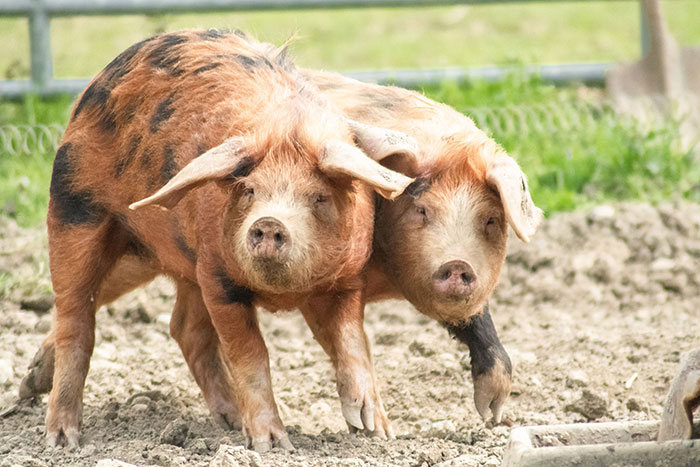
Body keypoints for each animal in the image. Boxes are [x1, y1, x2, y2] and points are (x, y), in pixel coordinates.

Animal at [30, 29, 422, 451]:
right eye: (249, 190)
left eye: (318, 196)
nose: (268, 222)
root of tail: (92, 88)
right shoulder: (218, 279)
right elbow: (250, 355)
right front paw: (272, 445)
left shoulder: (347, 279)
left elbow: (353, 343)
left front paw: (374, 430)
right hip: (72, 211)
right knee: (75, 320)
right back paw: (62, 440)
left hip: (177, 259)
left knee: (184, 328)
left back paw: (230, 422)